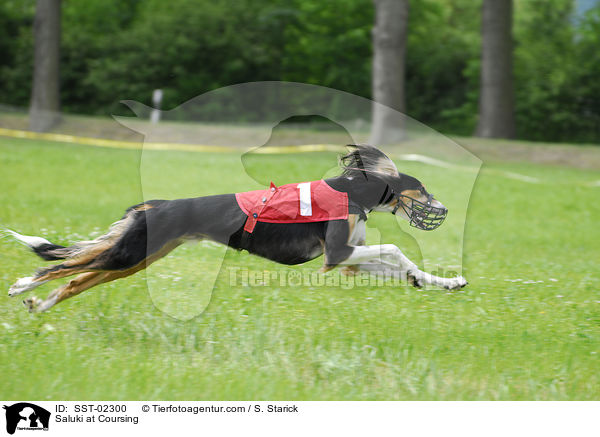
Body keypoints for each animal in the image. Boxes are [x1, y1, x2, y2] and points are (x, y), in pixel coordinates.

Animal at [5, 145, 468, 312]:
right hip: (130, 253)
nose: (444, 207)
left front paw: (444, 282)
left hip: (136, 259)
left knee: (75, 280)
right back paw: (23, 286)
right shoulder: (336, 256)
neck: (354, 191)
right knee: (60, 266)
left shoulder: (348, 262)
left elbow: (401, 264)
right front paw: (424, 276)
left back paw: (40, 306)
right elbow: (395, 250)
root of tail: (155, 204)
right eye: (422, 189)